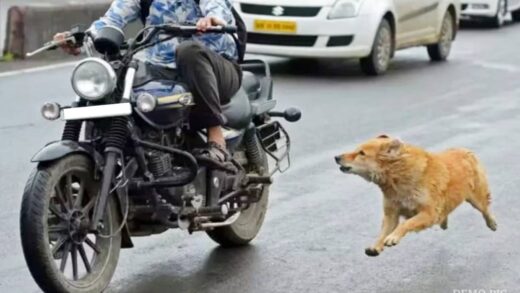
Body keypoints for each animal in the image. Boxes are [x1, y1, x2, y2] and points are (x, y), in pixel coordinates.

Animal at [336, 135, 498, 256]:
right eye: (356, 150)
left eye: (361, 153)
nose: (336, 157)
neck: (396, 176)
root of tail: (465, 150)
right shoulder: (391, 213)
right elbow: (384, 230)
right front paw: (376, 246)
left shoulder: (428, 213)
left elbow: (406, 223)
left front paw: (393, 237)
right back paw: (444, 222)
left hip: (476, 198)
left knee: (485, 209)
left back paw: (492, 223)